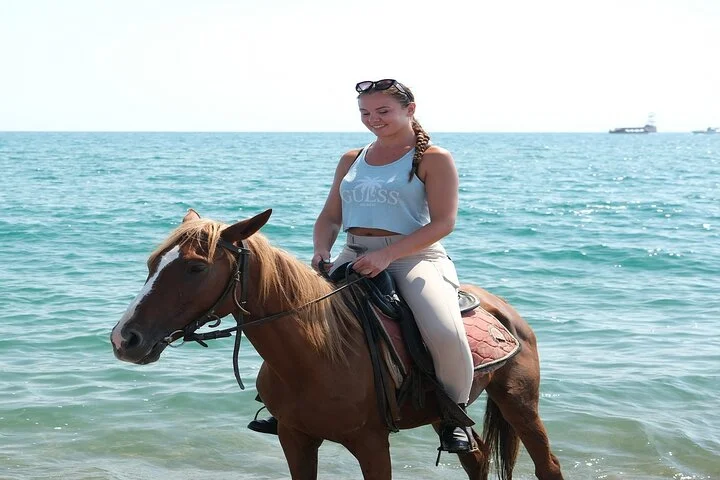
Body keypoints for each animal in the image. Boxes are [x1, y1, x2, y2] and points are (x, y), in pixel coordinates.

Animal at [111, 209, 564, 480]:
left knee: (547, 465)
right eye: (153, 263)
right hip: (446, 411)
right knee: (477, 457)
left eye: (195, 267)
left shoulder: (372, 444)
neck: (315, 356)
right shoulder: (294, 438)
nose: (124, 338)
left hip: (519, 403)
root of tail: (505, 310)